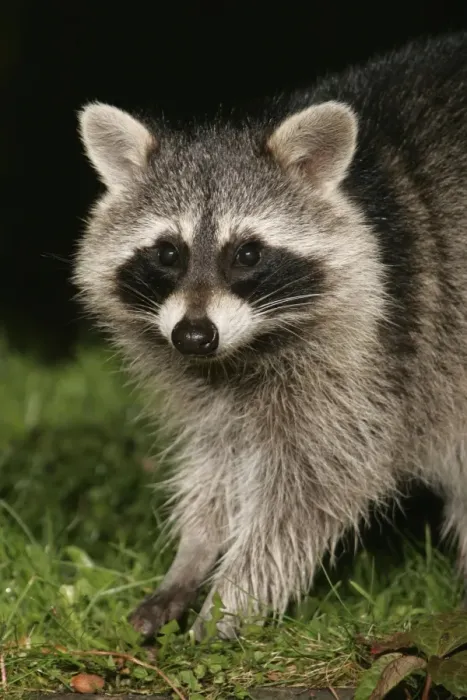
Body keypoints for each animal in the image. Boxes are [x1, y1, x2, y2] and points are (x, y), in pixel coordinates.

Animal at [74, 32, 467, 639]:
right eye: (168, 253)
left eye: (247, 254)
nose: (194, 336)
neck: (242, 352)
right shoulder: (207, 385)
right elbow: (214, 460)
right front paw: (193, 553)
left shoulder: (372, 357)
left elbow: (310, 493)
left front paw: (229, 605)